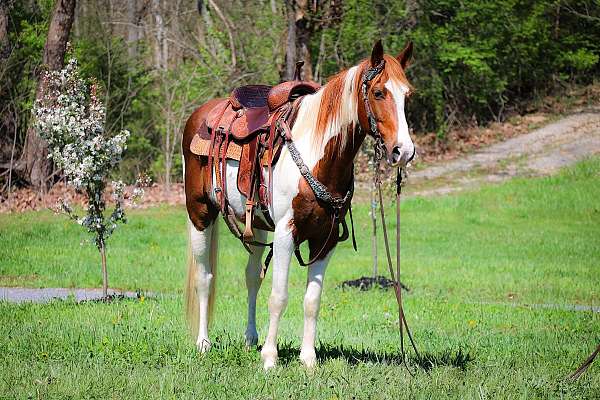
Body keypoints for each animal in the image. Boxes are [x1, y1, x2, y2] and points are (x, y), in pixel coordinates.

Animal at [183, 40, 418, 368]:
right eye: (378, 92)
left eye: (407, 94)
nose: (403, 151)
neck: (317, 152)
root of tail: (201, 114)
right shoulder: (286, 233)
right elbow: (279, 296)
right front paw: (270, 359)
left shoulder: (325, 239)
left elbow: (312, 300)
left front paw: (308, 360)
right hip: (200, 213)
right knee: (204, 277)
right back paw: (203, 343)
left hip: (256, 225)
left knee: (251, 277)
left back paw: (250, 340)